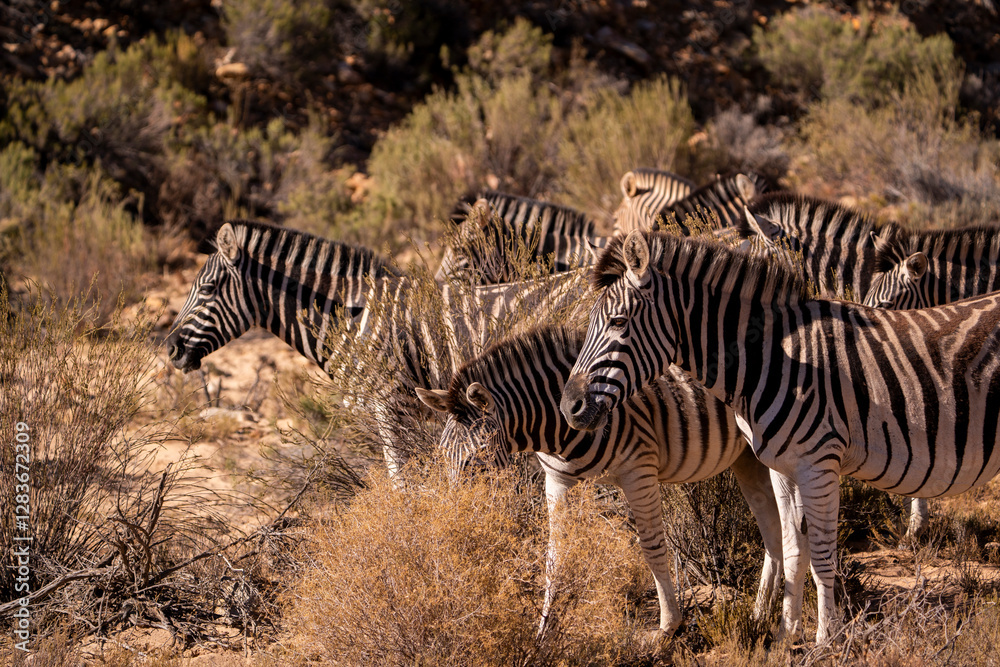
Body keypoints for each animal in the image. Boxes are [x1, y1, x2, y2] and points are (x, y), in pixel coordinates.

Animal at [415, 325, 783, 638]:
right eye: (443, 457)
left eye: (475, 460)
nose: (453, 526)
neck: (558, 430)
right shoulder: (557, 480)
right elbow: (554, 557)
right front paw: (544, 633)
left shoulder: (639, 470)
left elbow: (652, 546)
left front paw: (668, 626)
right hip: (746, 457)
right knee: (773, 527)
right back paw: (760, 614)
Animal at [560, 230, 1000, 643]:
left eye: (618, 323)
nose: (568, 408)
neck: (774, 359)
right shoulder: (783, 468)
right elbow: (791, 551)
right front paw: (786, 633)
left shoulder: (818, 464)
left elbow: (821, 554)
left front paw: (826, 639)